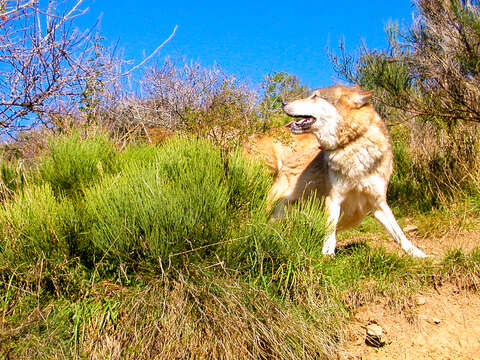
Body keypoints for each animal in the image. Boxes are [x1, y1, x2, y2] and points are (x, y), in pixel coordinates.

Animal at [262, 83, 428, 258]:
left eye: (315, 96)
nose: (283, 102)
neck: (351, 143)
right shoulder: (334, 199)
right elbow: (330, 230)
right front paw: (327, 255)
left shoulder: (378, 202)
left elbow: (399, 233)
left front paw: (418, 254)